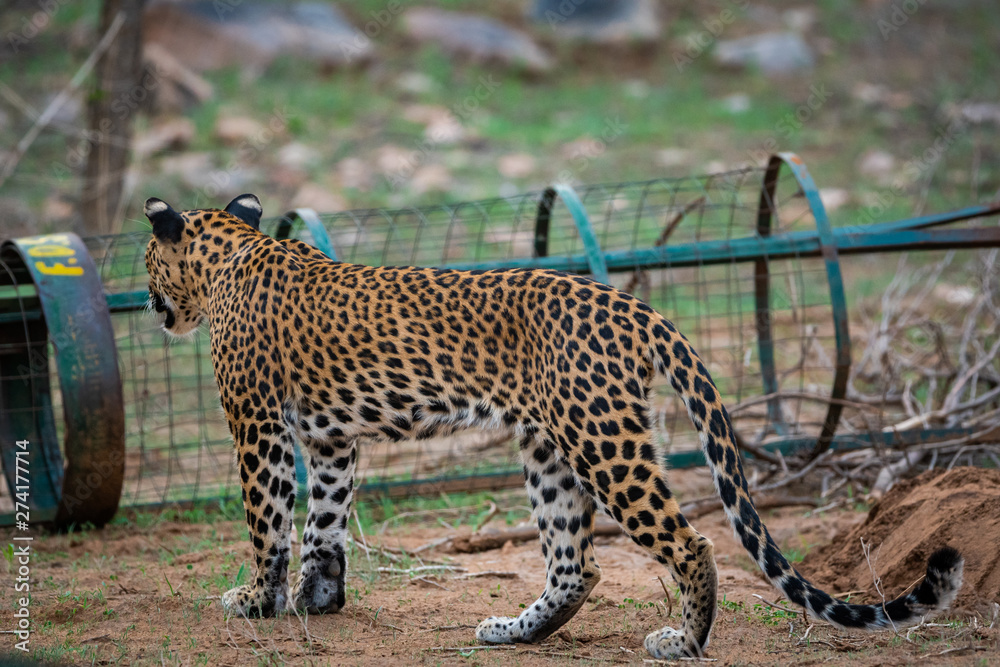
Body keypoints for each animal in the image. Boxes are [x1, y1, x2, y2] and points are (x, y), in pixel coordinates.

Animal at [143, 193, 964, 659]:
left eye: (148, 257)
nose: (150, 302)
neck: (231, 256)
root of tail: (635, 305)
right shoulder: (329, 437)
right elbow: (322, 521)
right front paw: (317, 598)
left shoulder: (257, 424)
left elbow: (268, 519)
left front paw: (256, 601)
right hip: (548, 445)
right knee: (577, 564)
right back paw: (515, 631)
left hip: (603, 441)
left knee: (690, 542)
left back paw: (683, 641)